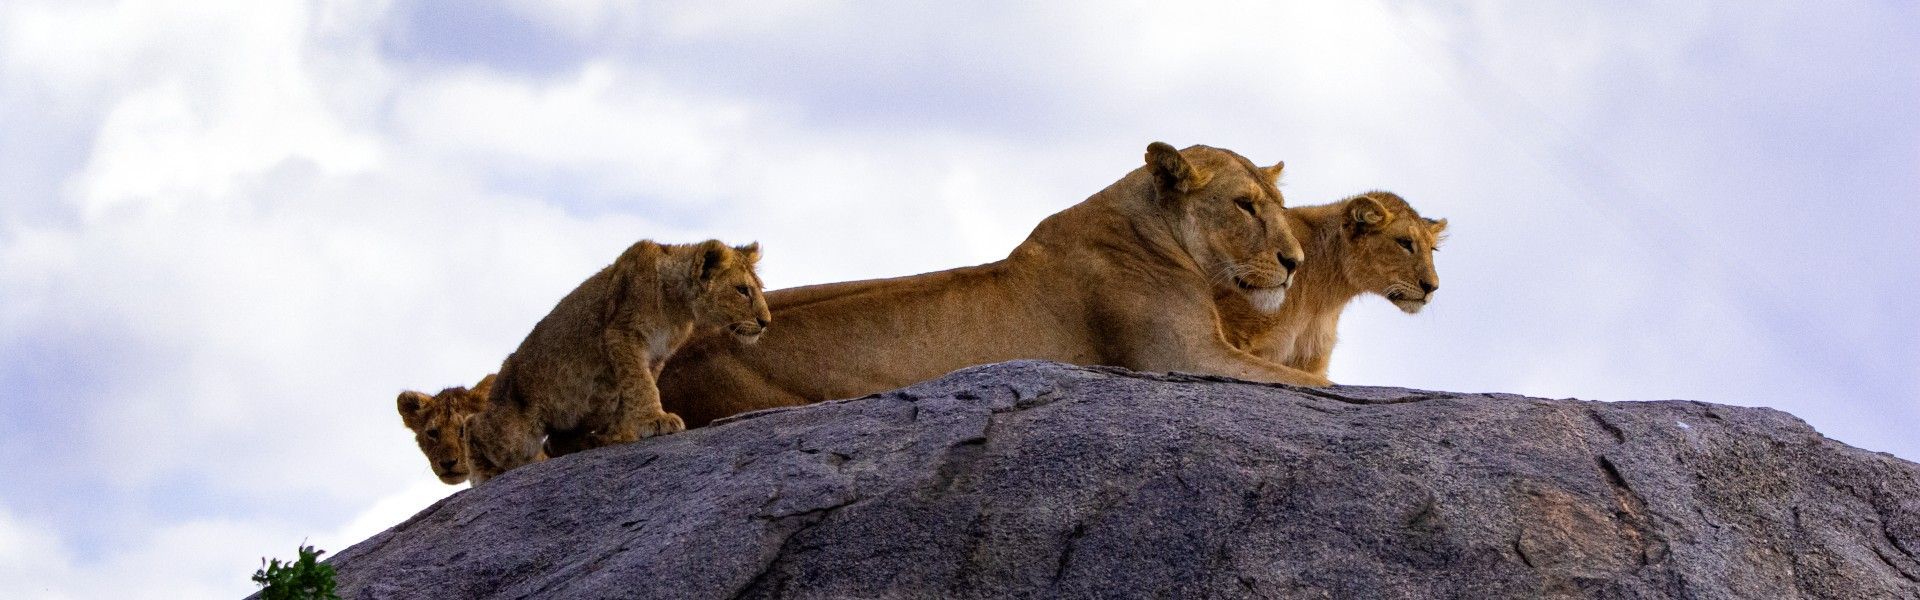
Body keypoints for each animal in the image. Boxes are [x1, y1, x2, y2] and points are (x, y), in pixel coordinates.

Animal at [465, 240, 770, 484]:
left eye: (758, 289)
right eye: (742, 290)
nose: (766, 322)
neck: (678, 307)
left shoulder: (655, 355)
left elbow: (636, 389)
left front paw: (624, 433)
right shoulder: (622, 335)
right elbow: (640, 384)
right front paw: (656, 420)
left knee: (555, 442)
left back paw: (591, 441)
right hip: (517, 434)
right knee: (473, 423)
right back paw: (485, 473)